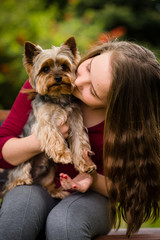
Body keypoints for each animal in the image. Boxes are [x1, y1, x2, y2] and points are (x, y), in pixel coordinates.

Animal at [3, 36, 96, 198]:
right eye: (45, 69)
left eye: (64, 66)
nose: (58, 77)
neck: (58, 98)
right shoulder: (45, 122)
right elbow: (55, 136)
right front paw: (64, 154)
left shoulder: (75, 120)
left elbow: (79, 141)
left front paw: (85, 165)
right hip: (24, 161)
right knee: (16, 177)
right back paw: (22, 181)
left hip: (50, 170)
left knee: (46, 184)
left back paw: (57, 191)